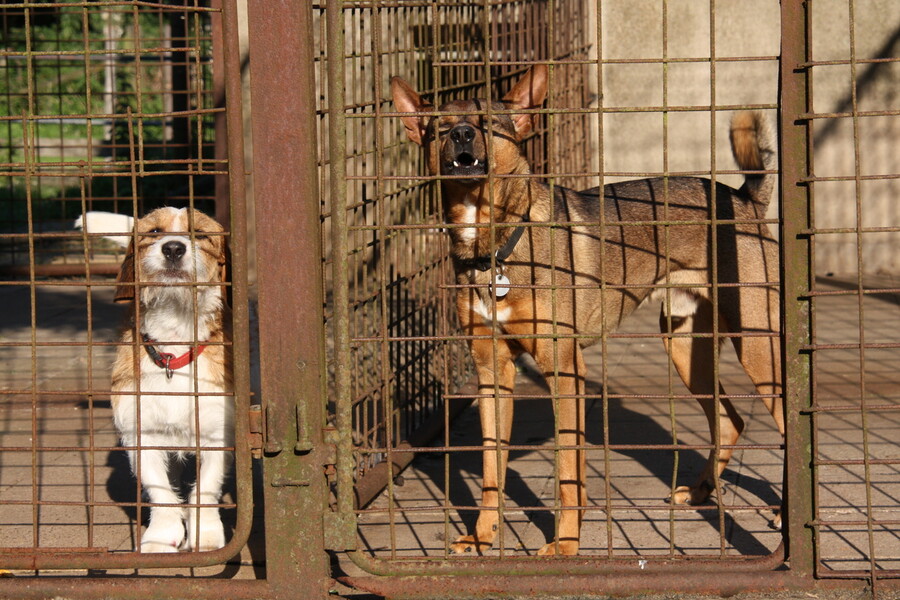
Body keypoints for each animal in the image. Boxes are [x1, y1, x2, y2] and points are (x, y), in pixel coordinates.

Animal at [78, 207, 234, 552]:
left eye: (200, 234)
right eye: (153, 232)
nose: (173, 248)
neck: (175, 349)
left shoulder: (217, 434)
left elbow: (206, 487)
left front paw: (206, 534)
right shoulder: (141, 434)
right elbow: (160, 489)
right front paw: (162, 536)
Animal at [390, 63, 784, 556]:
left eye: (488, 125)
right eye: (439, 128)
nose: (462, 134)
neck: (494, 248)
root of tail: (744, 199)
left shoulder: (564, 369)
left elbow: (567, 472)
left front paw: (565, 545)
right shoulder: (492, 373)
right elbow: (491, 470)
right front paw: (483, 536)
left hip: (757, 345)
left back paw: (785, 516)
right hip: (683, 344)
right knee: (730, 420)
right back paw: (699, 492)